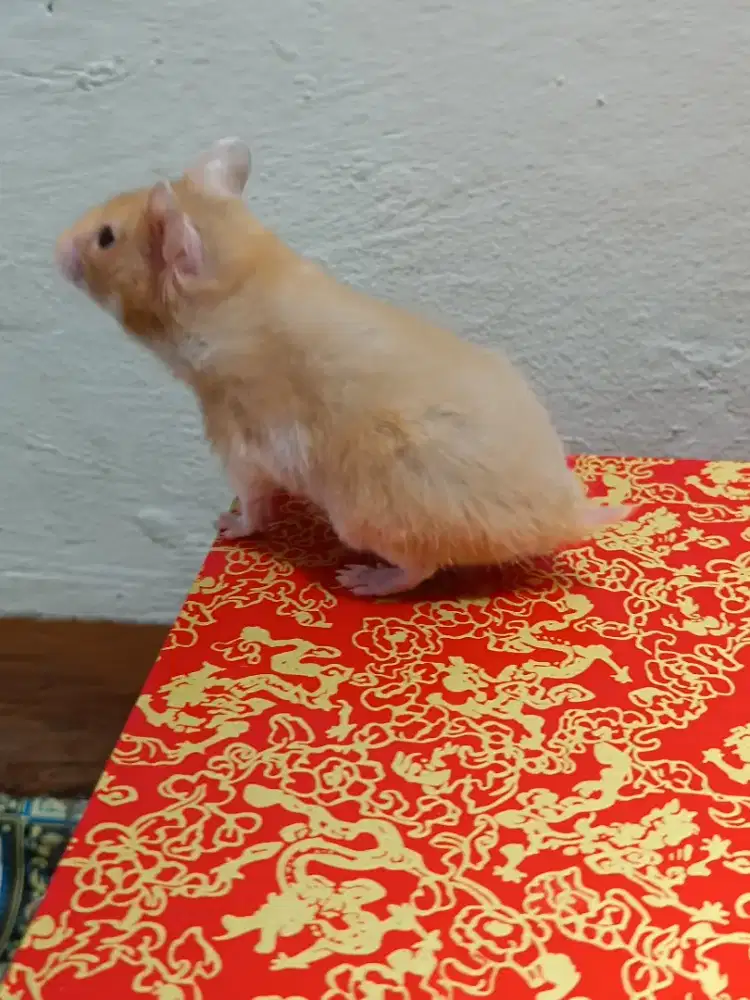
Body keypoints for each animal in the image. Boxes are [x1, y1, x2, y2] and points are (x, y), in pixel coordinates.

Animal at [55, 137, 631, 597]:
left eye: (105, 237)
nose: (54, 245)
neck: (236, 276)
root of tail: (566, 513)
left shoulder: (238, 442)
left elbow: (253, 503)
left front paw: (227, 523)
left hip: (364, 517)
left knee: (419, 568)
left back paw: (361, 580)